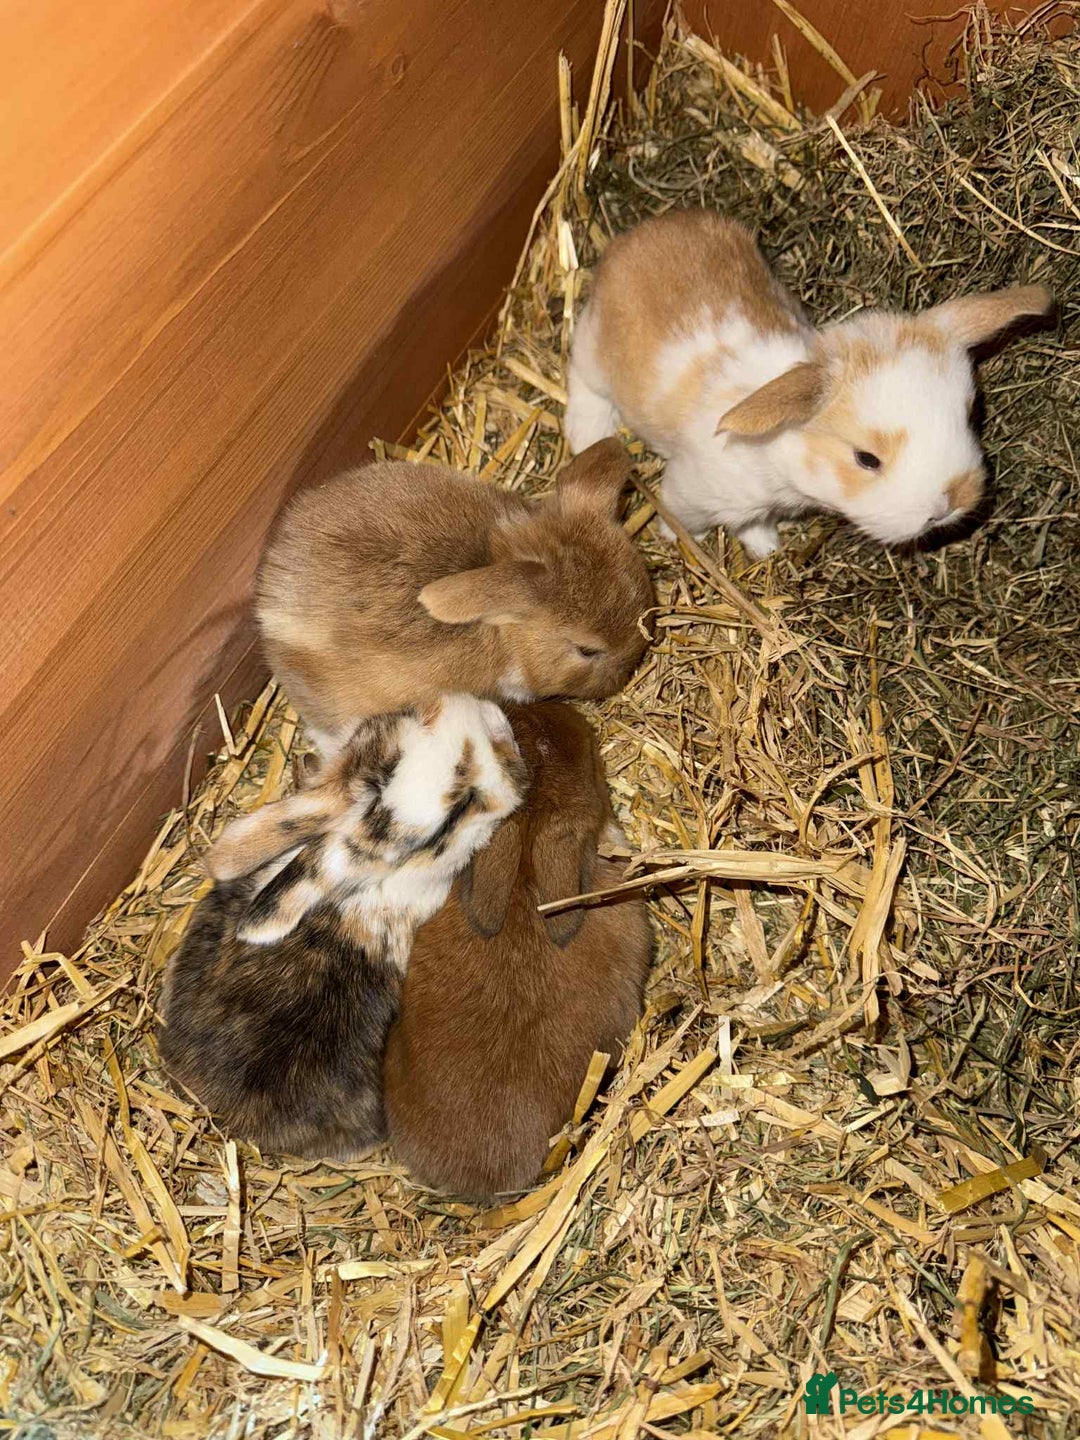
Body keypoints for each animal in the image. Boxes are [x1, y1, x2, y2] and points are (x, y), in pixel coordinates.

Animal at [564, 208, 1054, 557]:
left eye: (971, 415)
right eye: (866, 459)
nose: (945, 506)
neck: (779, 449)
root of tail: (635, 236)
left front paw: (765, 545)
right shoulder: (693, 492)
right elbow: (686, 518)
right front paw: (676, 537)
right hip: (593, 350)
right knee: (582, 378)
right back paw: (587, 434)